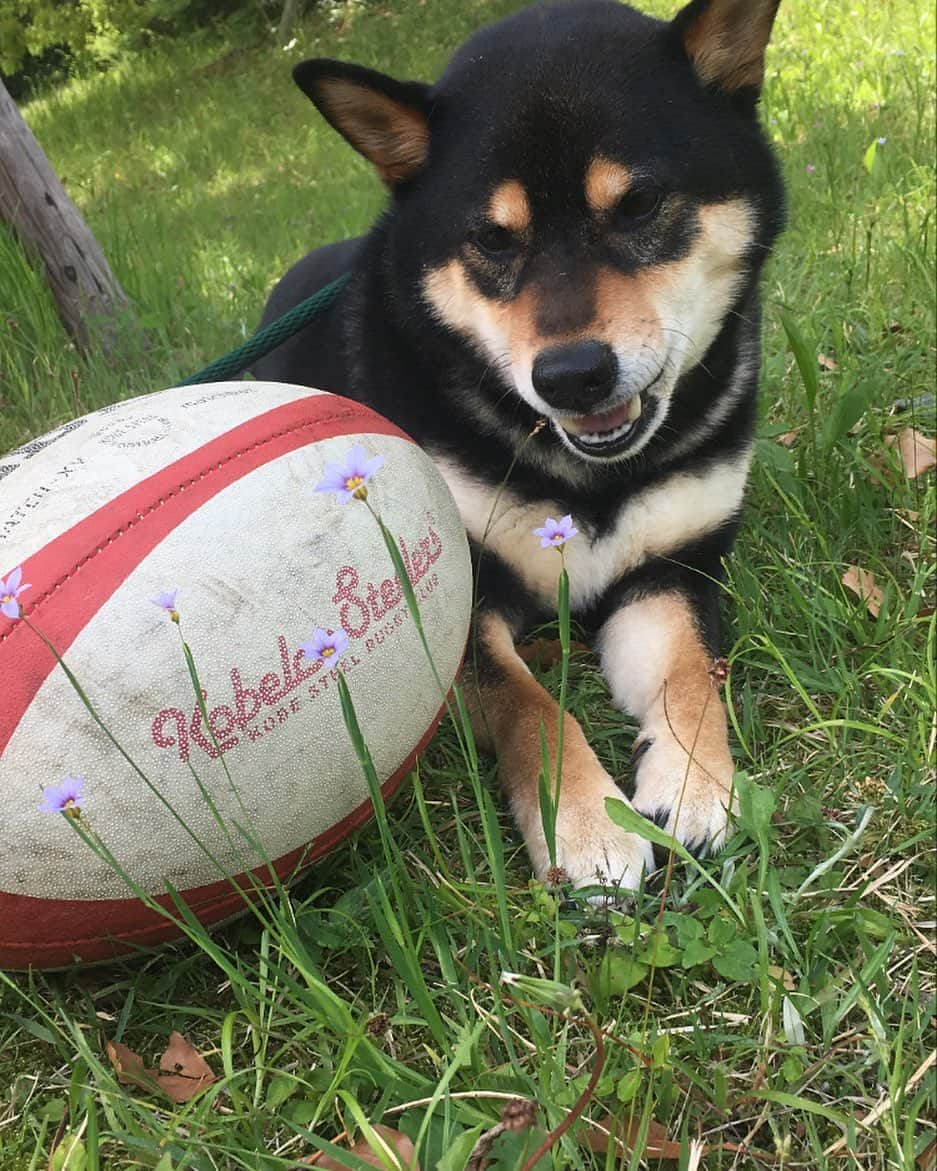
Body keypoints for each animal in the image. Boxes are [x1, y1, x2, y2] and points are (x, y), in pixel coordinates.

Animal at [252, 0, 787, 885]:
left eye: (638, 204)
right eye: (493, 240)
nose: (572, 375)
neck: (590, 480)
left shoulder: (668, 572)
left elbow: (690, 677)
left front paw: (696, 782)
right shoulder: (464, 604)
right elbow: (530, 706)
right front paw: (585, 824)